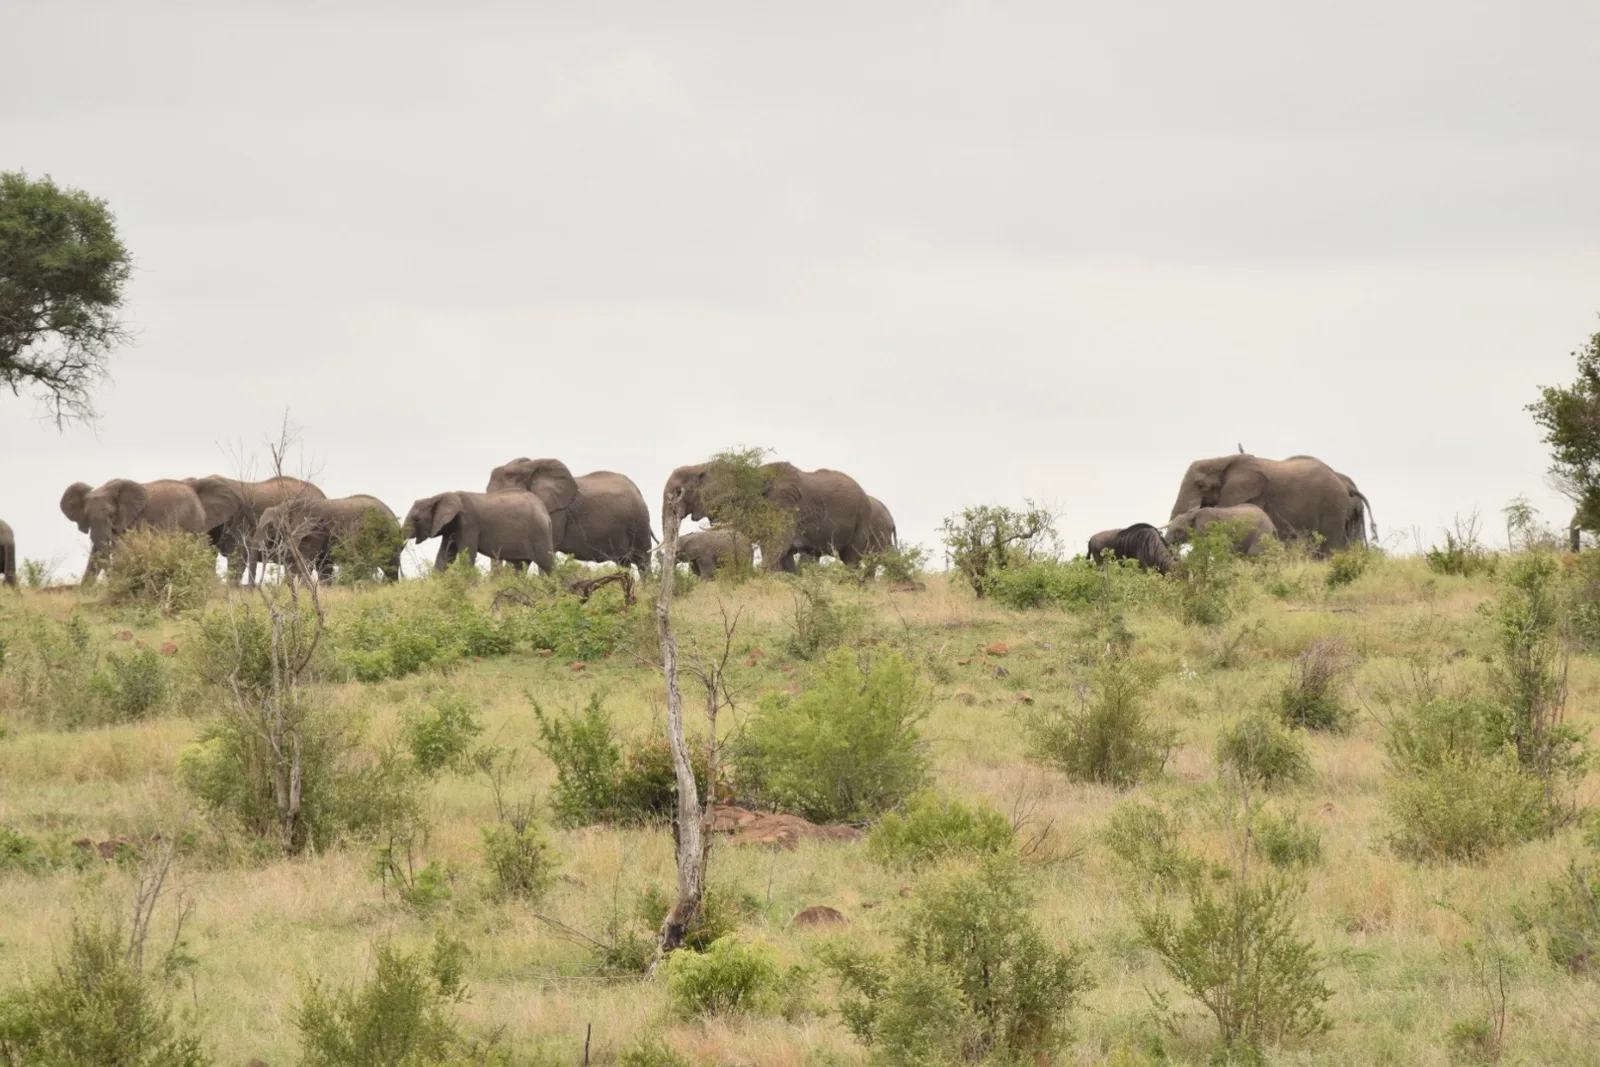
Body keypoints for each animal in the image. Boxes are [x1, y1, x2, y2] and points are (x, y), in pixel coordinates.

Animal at [60, 478, 209, 583]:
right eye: (87, 517)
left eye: (111, 515)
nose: (111, 581)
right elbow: (96, 553)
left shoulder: (134, 519)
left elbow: (122, 549)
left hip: (193, 520)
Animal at [255, 495, 400, 583]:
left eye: (270, 527)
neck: (285, 506)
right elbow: (323, 567)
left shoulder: (314, 532)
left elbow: (303, 563)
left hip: (388, 536)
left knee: (390, 566)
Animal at [403, 491, 555, 575]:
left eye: (416, 519)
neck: (438, 496)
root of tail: (545, 513)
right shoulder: (451, 528)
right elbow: (444, 558)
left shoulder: (468, 524)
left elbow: (467, 557)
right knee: (520, 567)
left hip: (539, 533)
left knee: (548, 565)